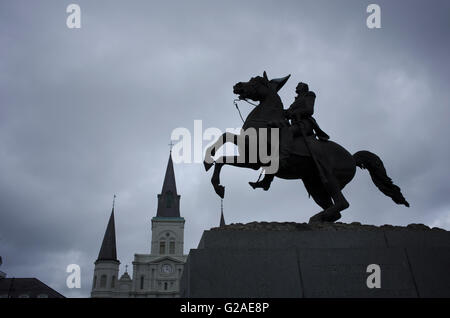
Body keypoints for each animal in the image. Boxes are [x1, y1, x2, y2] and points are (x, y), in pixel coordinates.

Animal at [204, 71, 408, 222]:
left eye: (257, 81)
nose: (237, 85)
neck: (265, 122)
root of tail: (352, 157)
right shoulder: (251, 161)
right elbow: (224, 146)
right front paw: (216, 180)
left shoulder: (255, 156)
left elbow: (225, 142)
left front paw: (211, 171)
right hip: (314, 185)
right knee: (336, 210)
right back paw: (318, 218)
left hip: (328, 178)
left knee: (342, 203)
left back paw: (316, 218)